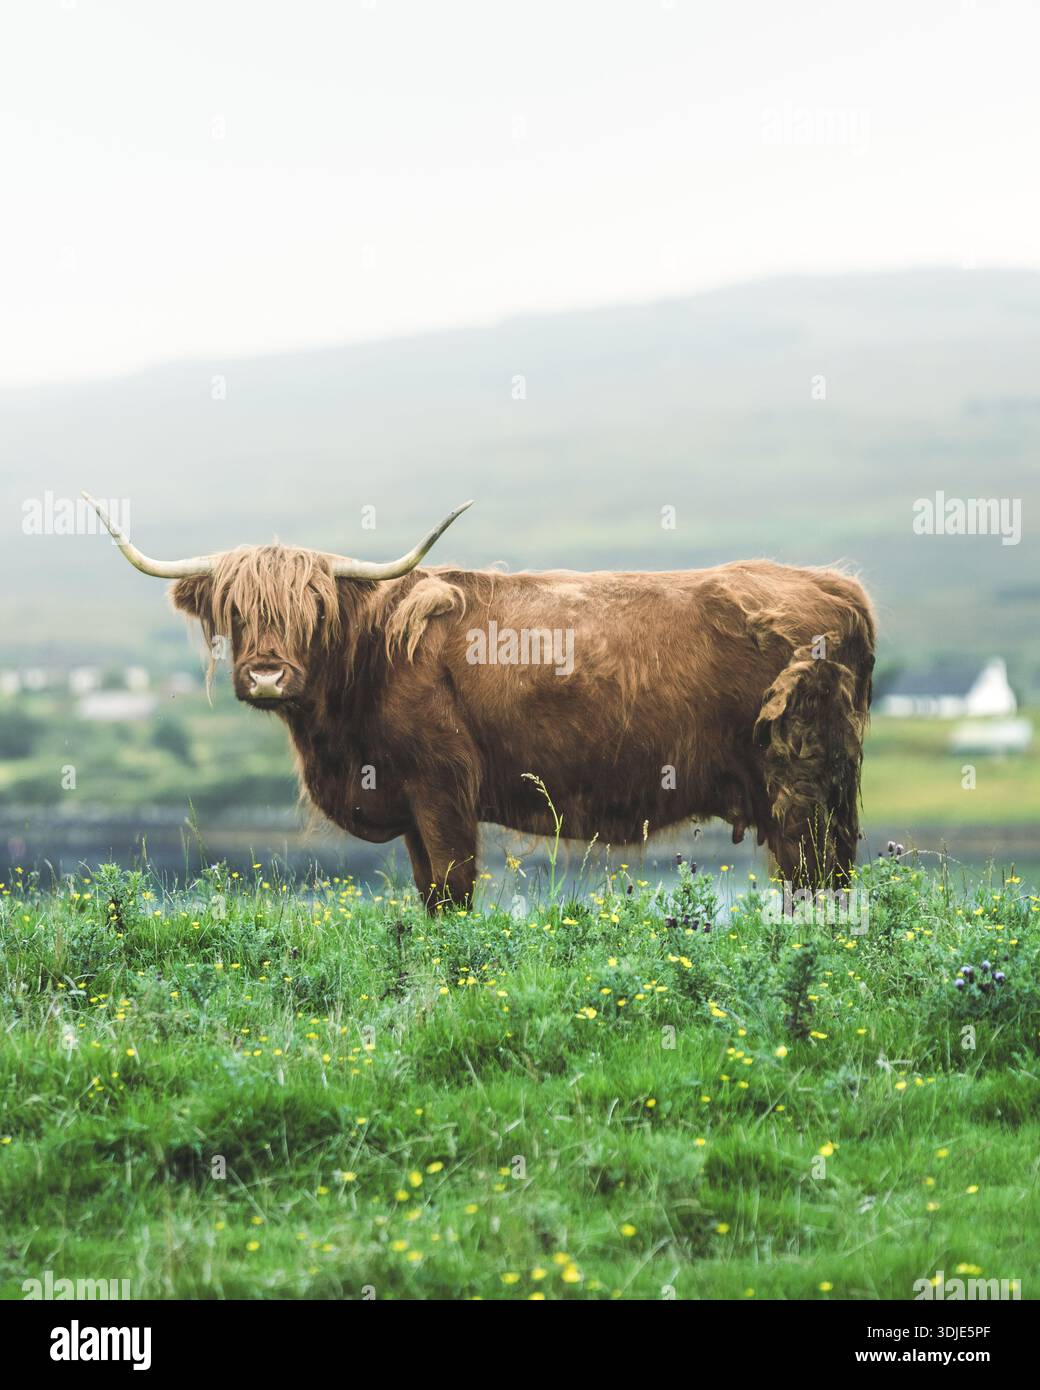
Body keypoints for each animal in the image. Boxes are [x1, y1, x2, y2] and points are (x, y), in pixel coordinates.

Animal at [83, 492, 875, 910]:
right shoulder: (405, 801)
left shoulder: (442, 786)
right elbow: (427, 889)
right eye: (235, 611)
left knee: (812, 877)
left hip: (798, 784)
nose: (269, 676)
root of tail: (833, 585)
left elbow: (453, 886)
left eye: (314, 609)